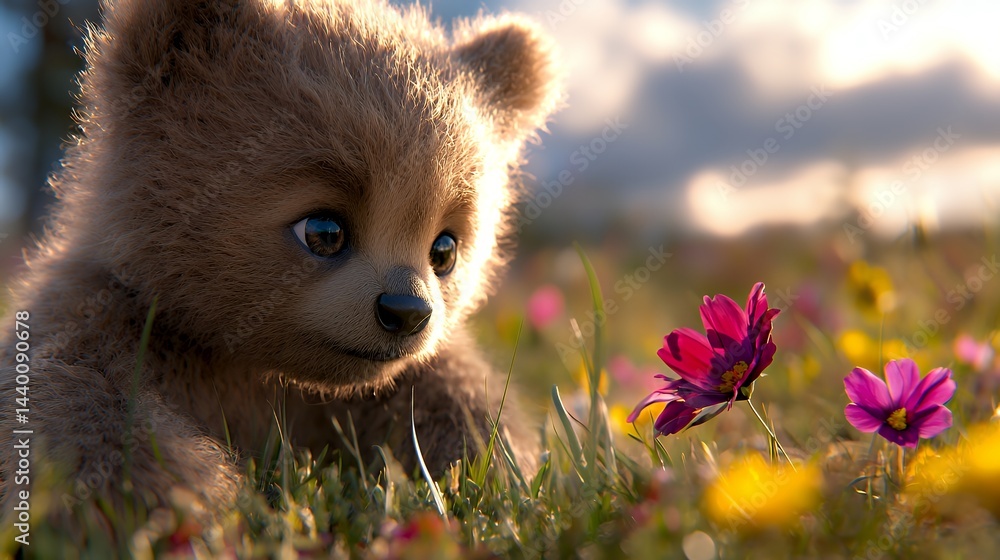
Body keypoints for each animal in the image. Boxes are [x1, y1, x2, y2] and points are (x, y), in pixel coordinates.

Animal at [0, 0, 561, 533]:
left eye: (444, 249)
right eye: (324, 230)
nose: (406, 312)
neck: (257, 365)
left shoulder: (388, 385)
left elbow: (465, 413)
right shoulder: (106, 323)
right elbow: (78, 407)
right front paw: (159, 502)